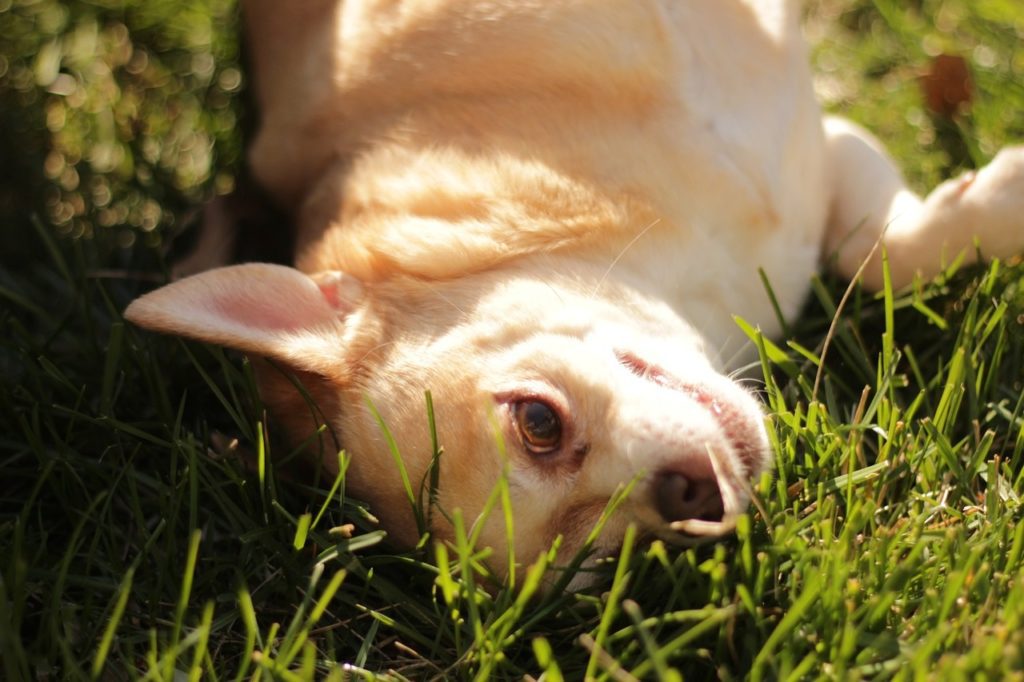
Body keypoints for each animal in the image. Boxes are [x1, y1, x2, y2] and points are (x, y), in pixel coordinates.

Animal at [125, 1, 1024, 585]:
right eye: (604, 560)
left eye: (539, 422)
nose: (690, 499)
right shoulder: (825, 156)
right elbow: (878, 255)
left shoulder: (820, 145)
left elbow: (880, 249)